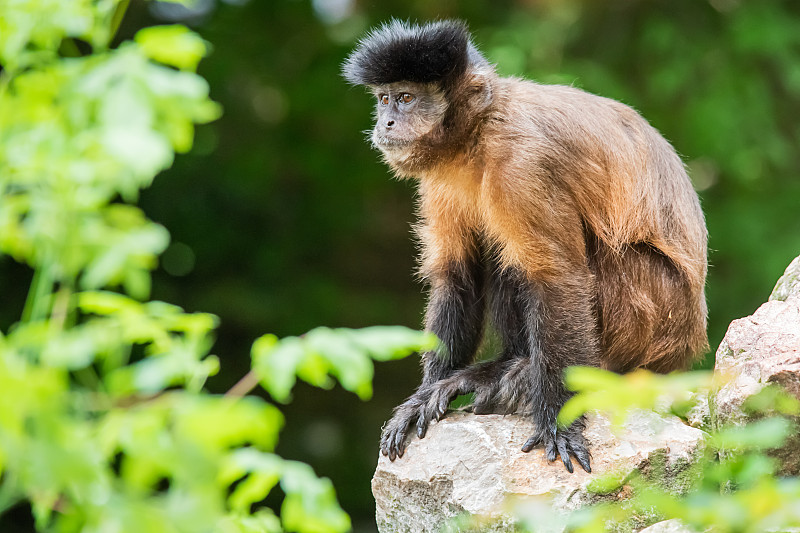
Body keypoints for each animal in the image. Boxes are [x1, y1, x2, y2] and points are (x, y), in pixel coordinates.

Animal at [342, 18, 708, 472]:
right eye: (384, 99)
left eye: (406, 99)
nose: (386, 122)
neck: (480, 132)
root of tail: (687, 343)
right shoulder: (440, 178)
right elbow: (458, 276)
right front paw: (422, 397)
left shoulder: (523, 164)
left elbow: (559, 279)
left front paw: (561, 424)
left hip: (655, 312)